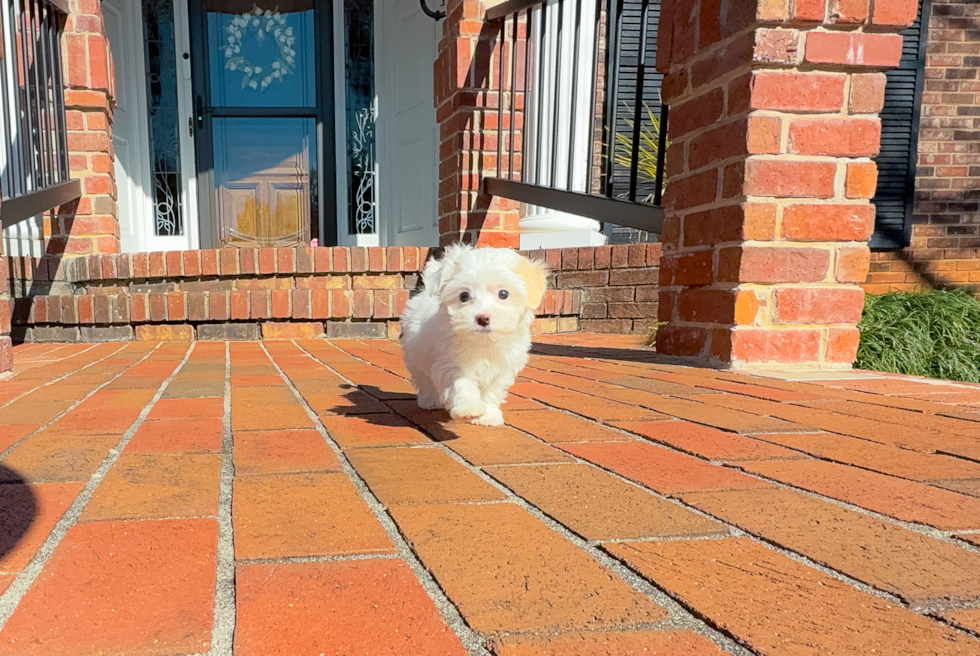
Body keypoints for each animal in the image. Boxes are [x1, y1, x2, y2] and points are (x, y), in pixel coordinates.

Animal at [400, 243, 552, 428]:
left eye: (503, 294)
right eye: (464, 296)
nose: (483, 318)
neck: (483, 341)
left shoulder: (502, 368)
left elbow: (493, 390)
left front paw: (488, 415)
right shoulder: (450, 362)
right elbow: (462, 382)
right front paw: (469, 407)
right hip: (416, 354)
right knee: (423, 378)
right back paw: (429, 400)